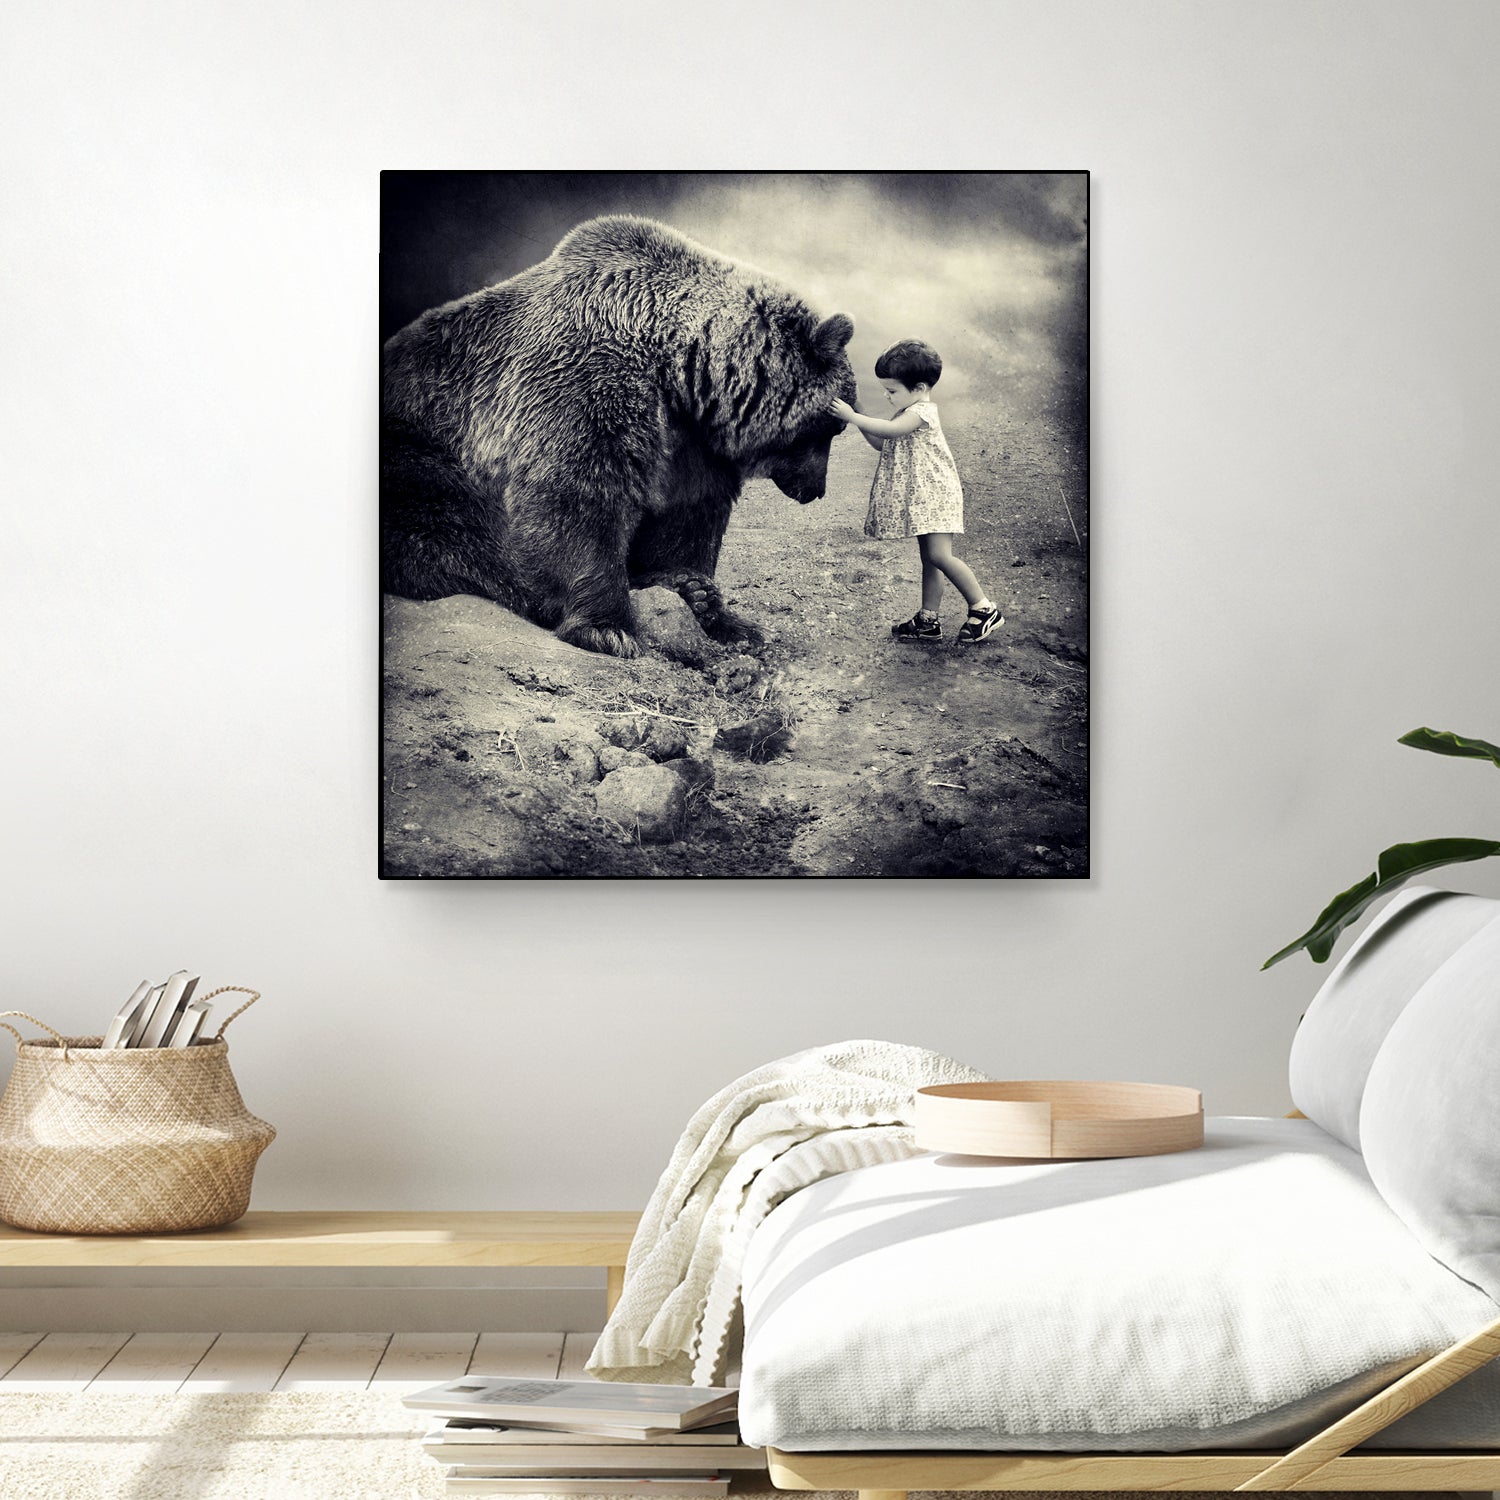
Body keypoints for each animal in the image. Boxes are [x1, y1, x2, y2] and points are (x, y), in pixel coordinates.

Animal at [381, 215, 857, 657]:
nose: (815, 489)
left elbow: (688, 517)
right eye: (833, 427)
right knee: (455, 530)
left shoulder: (690, 442)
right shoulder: (584, 379)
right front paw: (609, 628)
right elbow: (579, 495)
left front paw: (711, 605)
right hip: (425, 446)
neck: (679, 367)